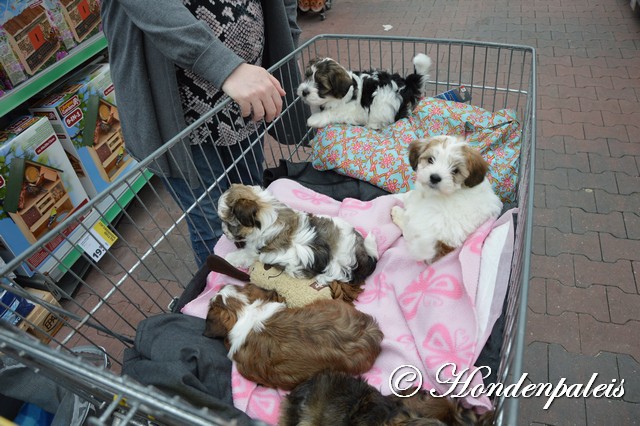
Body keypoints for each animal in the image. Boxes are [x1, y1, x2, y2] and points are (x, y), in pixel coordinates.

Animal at [218, 183, 378, 286]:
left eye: (230, 224)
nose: (223, 232)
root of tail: (362, 252)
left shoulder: (255, 251)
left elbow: (244, 255)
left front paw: (229, 258)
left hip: (338, 263)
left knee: (342, 275)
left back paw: (322, 279)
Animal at [298, 53, 432, 130]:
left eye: (320, 84)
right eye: (307, 76)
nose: (304, 92)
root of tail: (405, 84)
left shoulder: (351, 110)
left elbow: (334, 112)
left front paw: (315, 119)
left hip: (383, 104)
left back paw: (373, 125)